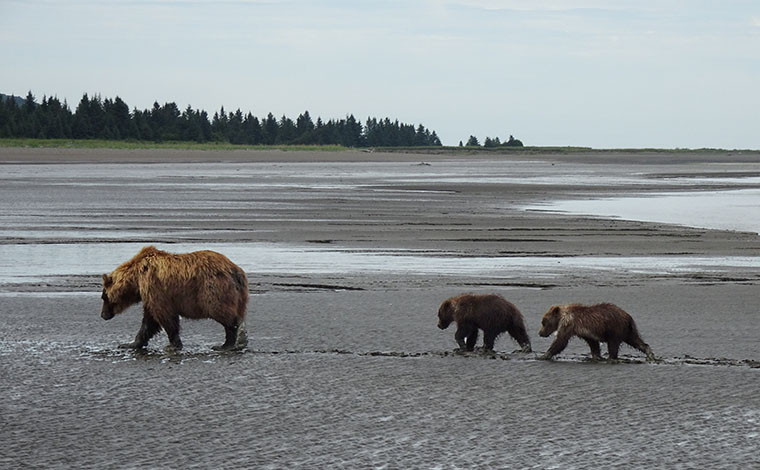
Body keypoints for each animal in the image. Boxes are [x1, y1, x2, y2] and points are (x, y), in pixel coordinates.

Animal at [100, 246, 249, 352]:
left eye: (103, 297)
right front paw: (129, 344)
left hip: (212, 288)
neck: (136, 278)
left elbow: (164, 316)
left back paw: (226, 344)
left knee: (220, 311)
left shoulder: (155, 287)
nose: (103, 315)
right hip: (240, 296)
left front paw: (172, 345)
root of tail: (235, 270)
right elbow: (149, 321)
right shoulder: (148, 296)